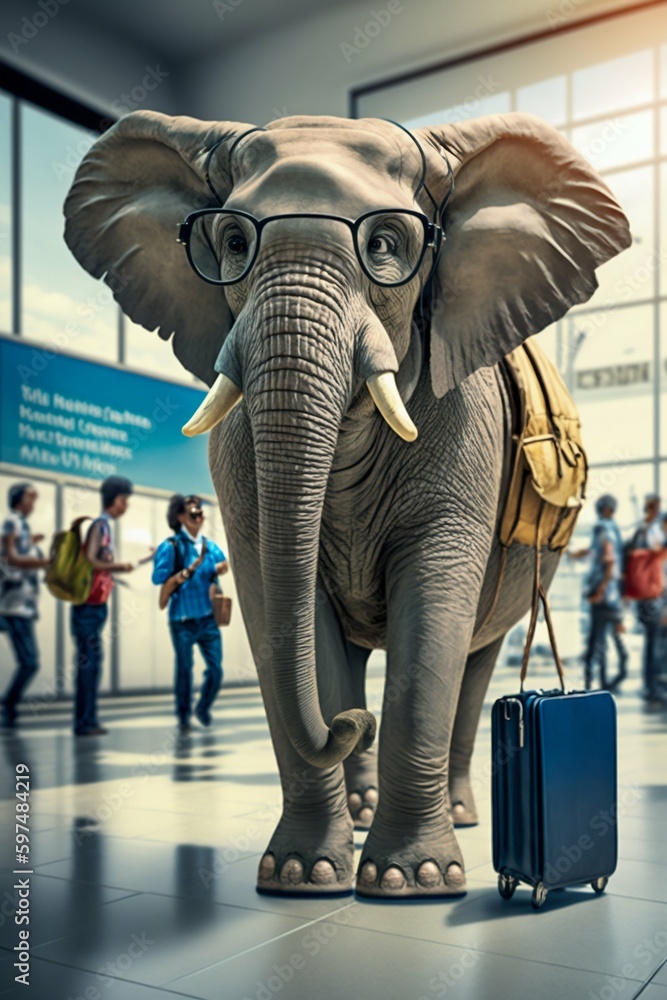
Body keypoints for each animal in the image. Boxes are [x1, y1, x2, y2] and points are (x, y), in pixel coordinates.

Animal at [64, 110, 630, 899]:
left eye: (386, 246)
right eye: (233, 243)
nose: (349, 725)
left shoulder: (468, 431)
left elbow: (432, 621)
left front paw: (413, 882)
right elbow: (283, 611)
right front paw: (302, 877)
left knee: (476, 659)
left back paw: (459, 815)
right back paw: (362, 804)